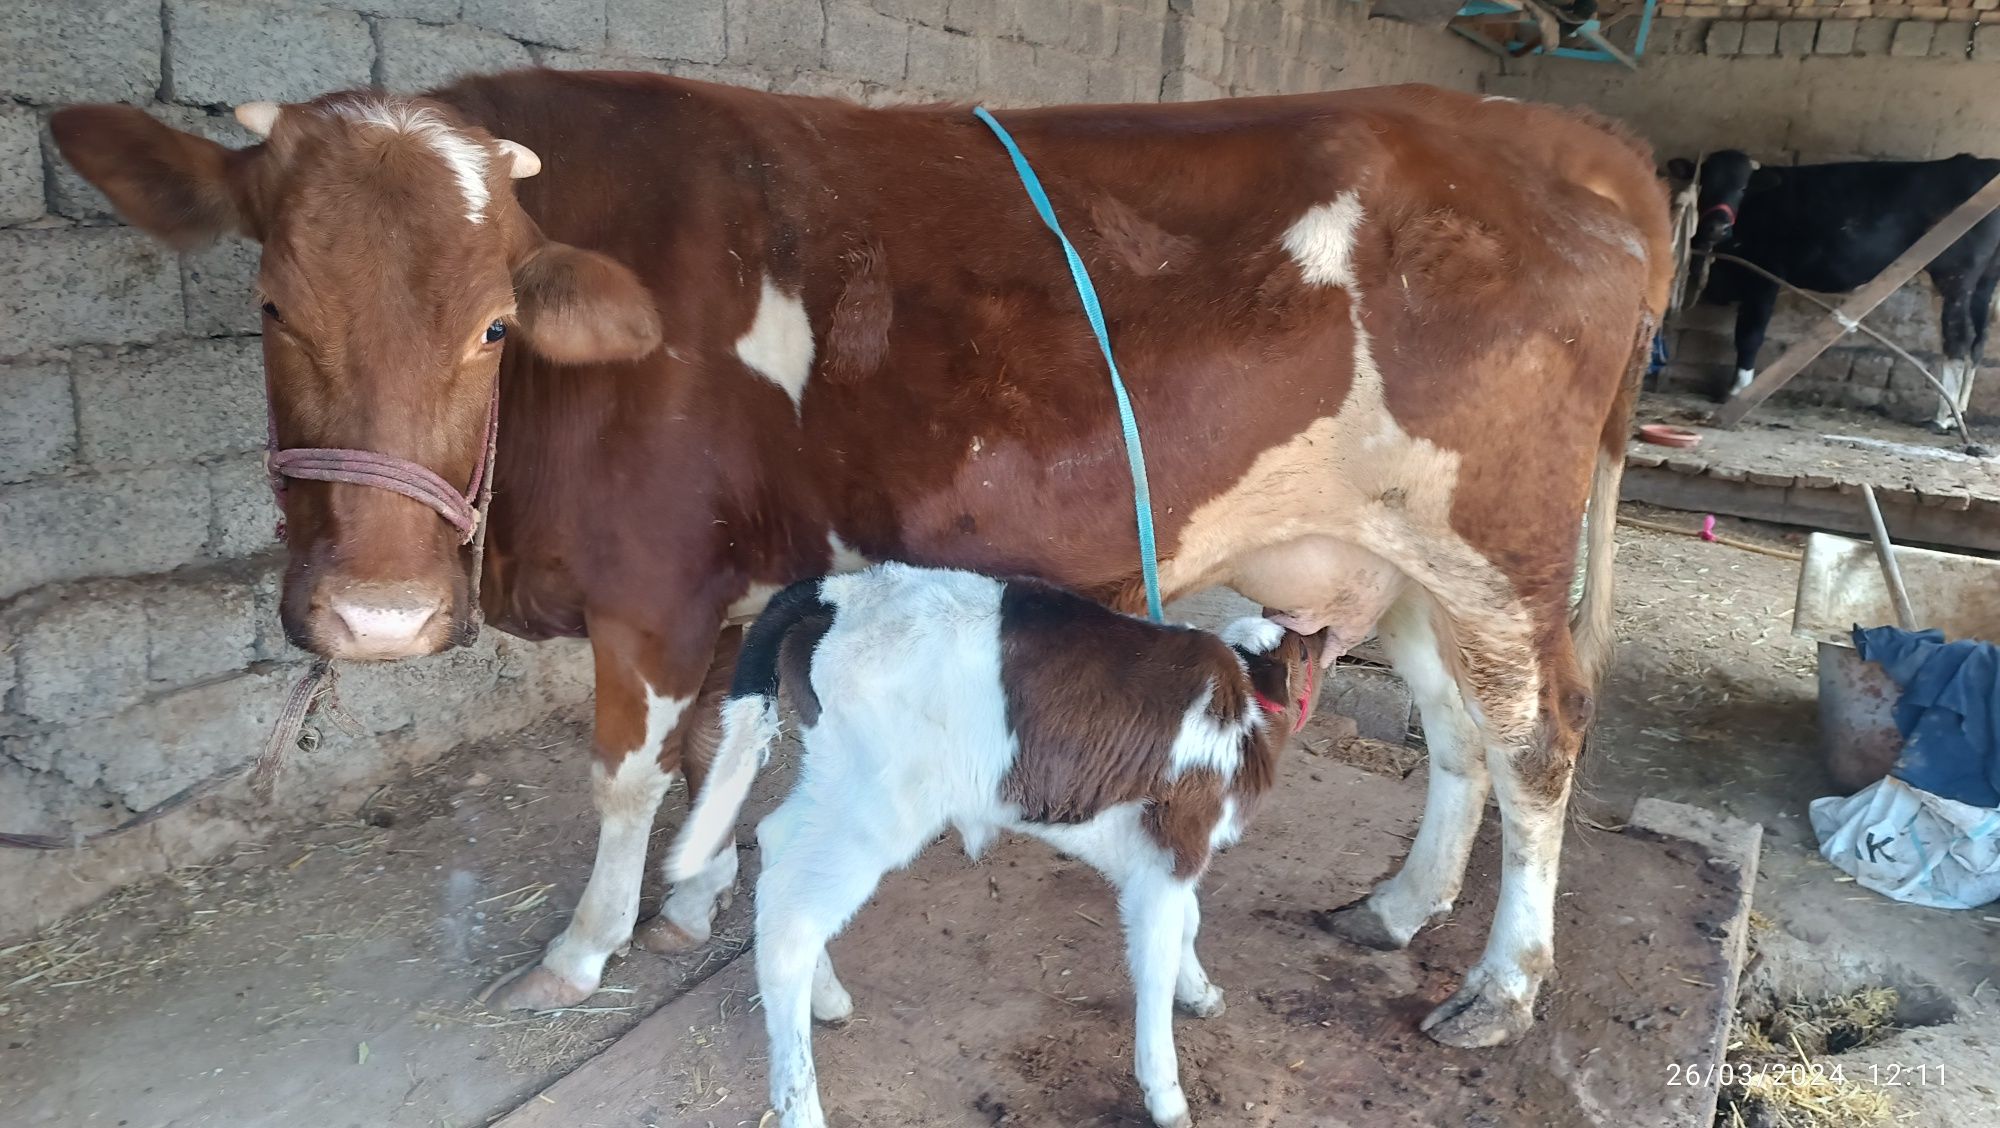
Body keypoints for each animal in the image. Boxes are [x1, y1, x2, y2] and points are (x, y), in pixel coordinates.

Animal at [50, 72, 1672, 1048]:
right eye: (271, 303)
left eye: (492, 326)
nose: (378, 618)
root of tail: (1569, 148)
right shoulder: (731, 588)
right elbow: (719, 750)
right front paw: (696, 899)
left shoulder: (652, 590)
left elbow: (630, 776)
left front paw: (587, 945)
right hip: (1390, 559)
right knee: (1461, 738)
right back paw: (1396, 910)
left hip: (1495, 545)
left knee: (1540, 743)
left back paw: (1499, 986)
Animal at [668, 568, 1328, 1128]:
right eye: (1307, 655)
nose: (1328, 640)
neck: (1244, 702)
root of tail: (841, 590)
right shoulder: (1177, 844)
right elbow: (1157, 962)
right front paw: (1166, 1093)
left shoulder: (1145, 850)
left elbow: (1186, 923)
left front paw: (1201, 993)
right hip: (882, 809)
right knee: (791, 921)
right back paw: (801, 1104)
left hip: (839, 779)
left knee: (777, 840)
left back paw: (827, 999)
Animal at [1672, 151, 2000, 432]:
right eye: (1704, 183)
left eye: (1742, 187)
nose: (1717, 227)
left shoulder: (1766, 275)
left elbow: (1749, 334)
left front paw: (1737, 389)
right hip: (1985, 281)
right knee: (1979, 340)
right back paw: (1959, 413)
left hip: (1956, 273)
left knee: (1959, 338)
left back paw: (1942, 417)